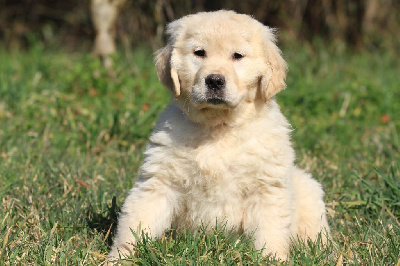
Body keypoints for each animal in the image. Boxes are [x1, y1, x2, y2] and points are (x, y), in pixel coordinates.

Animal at [108, 9, 330, 260]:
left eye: (237, 56)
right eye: (199, 53)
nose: (214, 80)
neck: (219, 126)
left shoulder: (266, 187)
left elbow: (270, 230)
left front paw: (272, 259)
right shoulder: (161, 180)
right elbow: (138, 219)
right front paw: (119, 257)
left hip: (308, 191)